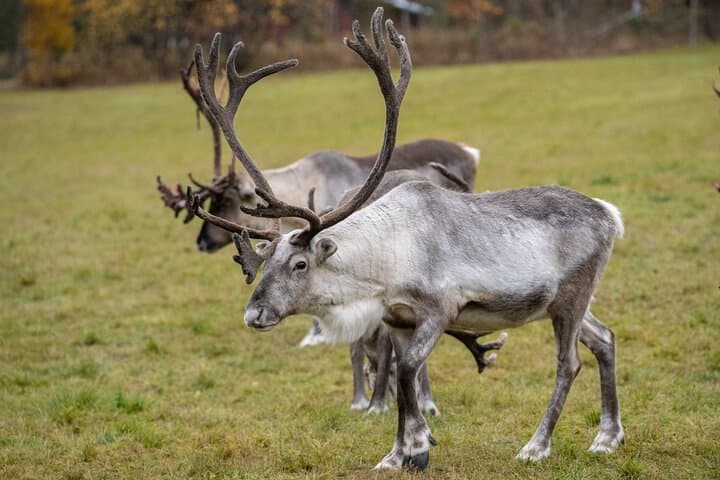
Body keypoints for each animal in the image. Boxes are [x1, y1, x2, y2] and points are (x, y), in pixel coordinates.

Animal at [185, 7, 626, 471]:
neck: (385, 261)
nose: (254, 314)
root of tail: (609, 214)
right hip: (564, 303)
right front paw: (399, 452)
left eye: (300, 263)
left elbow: (409, 369)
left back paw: (536, 446)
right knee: (605, 339)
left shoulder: (441, 309)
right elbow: (400, 371)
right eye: (264, 262)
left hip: (572, 298)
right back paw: (607, 437)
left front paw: (415, 448)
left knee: (569, 362)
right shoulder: (397, 318)